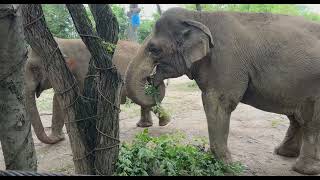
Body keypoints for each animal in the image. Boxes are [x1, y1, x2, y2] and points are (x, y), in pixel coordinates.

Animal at [25, 37, 170, 145]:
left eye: (34, 68)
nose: (56, 138)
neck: (62, 42)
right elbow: (58, 99)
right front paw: (58, 138)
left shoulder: (83, 73)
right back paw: (146, 125)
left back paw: (161, 123)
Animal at [124, 7, 320, 175]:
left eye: (154, 49)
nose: (151, 79)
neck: (198, 17)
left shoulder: (226, 61)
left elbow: (218, 103)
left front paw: (227, 166)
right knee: (298, 117)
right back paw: (283, 153)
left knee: (311, 120)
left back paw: (305, 169)